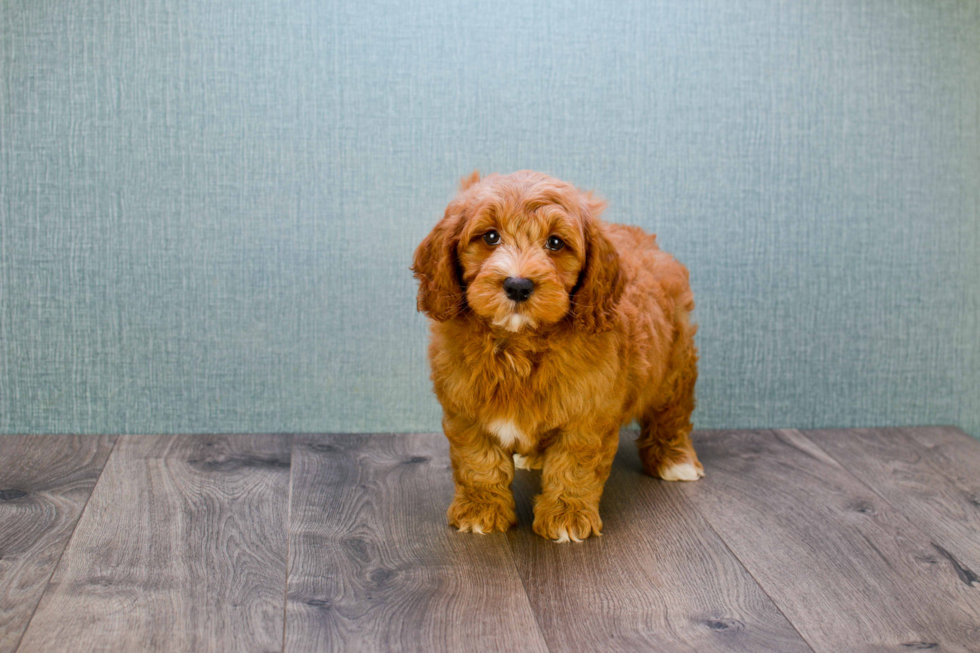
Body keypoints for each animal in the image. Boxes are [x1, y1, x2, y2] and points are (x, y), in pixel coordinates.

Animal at [410, 171, 700, 544]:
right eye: (490, 236)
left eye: (556, 243)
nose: (518, 285)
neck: (518, 344)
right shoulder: (467, 409)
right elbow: (478, 462)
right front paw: (480, 509)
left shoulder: (587, 414)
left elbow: (574, 466)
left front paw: (567, 515)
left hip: (675, 366)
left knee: (671, 413)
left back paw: (674, 459)